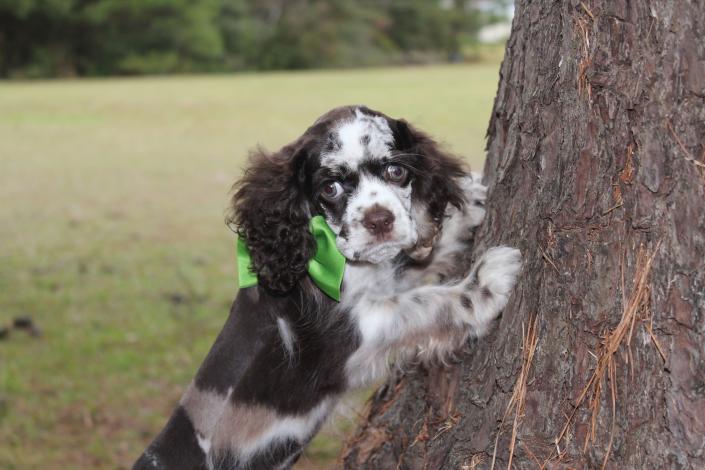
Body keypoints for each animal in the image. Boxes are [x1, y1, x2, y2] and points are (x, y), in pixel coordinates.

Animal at [135, 105, 524, 470]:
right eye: (330, 188)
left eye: (396, 171)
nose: (379, 220)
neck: (330, 256)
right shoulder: (349, 331)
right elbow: (422, 304)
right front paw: (487, 282)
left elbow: (411, 259)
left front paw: (467, 207)